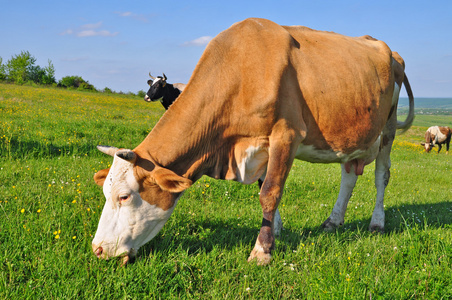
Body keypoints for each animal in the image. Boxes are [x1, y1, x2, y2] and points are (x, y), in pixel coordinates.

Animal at [90, 18, 414, 264]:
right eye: (105, 193)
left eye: (124, 196)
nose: (97, 249)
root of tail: (389, 50)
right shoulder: (258, 147)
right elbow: (263, 187)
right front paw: (277, 230)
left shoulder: (287, 135)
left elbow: (270, 191)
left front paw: (262, 250)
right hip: (352, 134)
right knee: (348, 176)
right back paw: (333, 221)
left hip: (387, 130)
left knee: (381, 176)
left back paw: (377, 222)